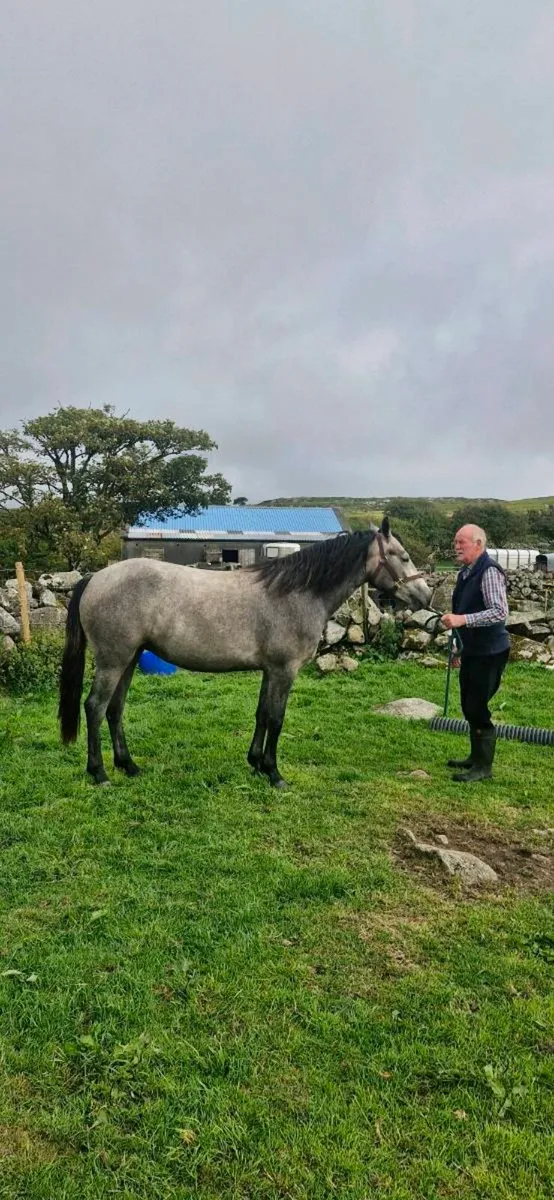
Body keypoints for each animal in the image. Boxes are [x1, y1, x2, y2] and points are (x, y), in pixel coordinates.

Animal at [58, 518, 431, 787]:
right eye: (403, 556)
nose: (426, 596)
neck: (296, 593)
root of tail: (95, 578)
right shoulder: (284, 670)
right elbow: (277, 718)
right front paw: (275, 774)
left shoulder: (270, 670)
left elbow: (262, 714)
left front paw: (256, 764)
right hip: (113, 660)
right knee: (95, 707)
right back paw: (99, 773)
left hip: (130, 658)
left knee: (115, 709)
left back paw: (128, 766)